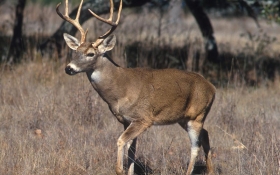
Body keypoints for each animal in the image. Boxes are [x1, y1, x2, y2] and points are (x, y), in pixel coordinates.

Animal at [55, 0, 215, 174]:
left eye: (91, 54)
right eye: (76, 51)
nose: (68, 68)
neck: (120, 91)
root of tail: (212, 88)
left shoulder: (143, 118)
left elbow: (120, 141)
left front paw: (119, 169)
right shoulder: (126, 120)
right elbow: (132, 149)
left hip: (197, 115)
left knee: (195, 146)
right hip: (184, 118)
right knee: (205, 135)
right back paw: (210, 170)